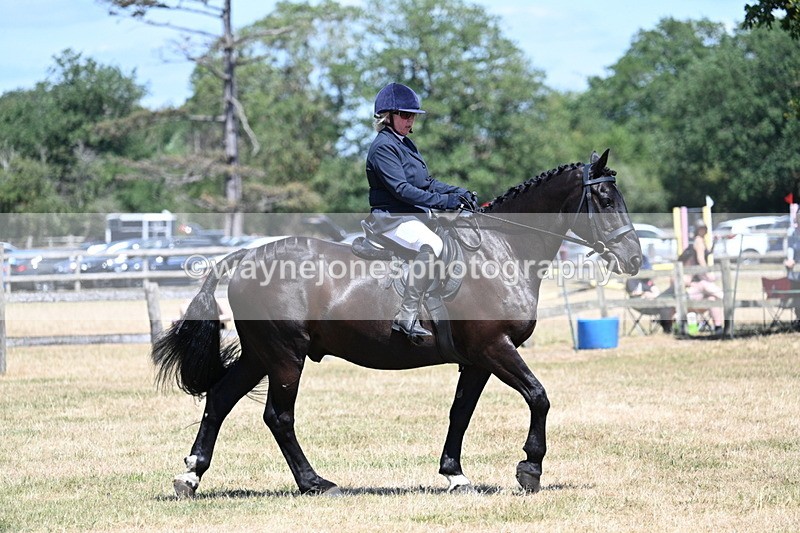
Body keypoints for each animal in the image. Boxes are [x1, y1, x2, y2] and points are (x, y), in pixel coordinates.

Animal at [153, 149, 642, 497]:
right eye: (603, 199)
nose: (634, 259)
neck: (502, 250)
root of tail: (244, 256)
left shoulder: (477, 359)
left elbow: (460, 412)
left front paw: (455, 475)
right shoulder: (495, 348)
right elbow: (539, 397)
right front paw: (530, 469)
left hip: (261, 354)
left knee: (220, 399)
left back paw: (191, 477)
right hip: (286, 355)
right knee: (278, 416)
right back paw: (315, 483)